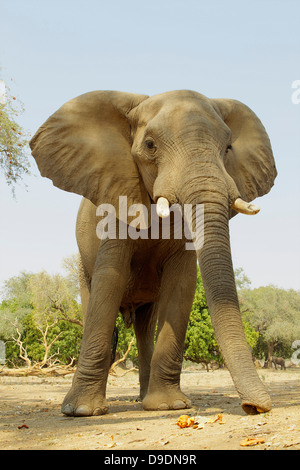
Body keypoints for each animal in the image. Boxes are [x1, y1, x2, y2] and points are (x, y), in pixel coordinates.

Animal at [29, 90, 276, 416]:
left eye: (228, 148)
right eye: (150, 145)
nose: (253, 407)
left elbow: (182, 282)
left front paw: (170, 406)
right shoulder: (116, 203)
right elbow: (110, 280)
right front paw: (80, 411)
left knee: (145, 325)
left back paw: (145, 400)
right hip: (81, 264)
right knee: (93, 300)